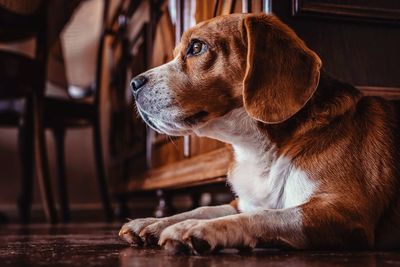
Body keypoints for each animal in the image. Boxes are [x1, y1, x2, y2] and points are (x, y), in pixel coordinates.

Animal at [117, 13, 400, 255]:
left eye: (196, 47)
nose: (133, 84)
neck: (257, 148)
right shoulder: (241, 202)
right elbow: (207, 207)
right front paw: (154, 222)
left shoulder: (344, 213)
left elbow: (263, 215)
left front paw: (197, 228)